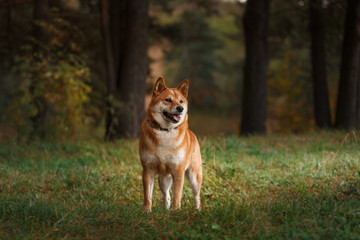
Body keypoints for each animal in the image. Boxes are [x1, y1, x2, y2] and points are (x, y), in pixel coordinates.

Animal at [139, 77, 202, 212]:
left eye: (181, 101)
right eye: (168, 100)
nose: (180, 108)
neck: (165, 131)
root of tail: (192, 133)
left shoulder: (178, 171)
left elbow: (177, 195)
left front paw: (176, 211)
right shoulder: (148, 170)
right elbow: (147, 195)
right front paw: (146, 211)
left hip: (194, 176)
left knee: (196, 195)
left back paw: (197, 209)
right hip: (163, 179)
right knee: (167, 195)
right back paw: (166, 210)